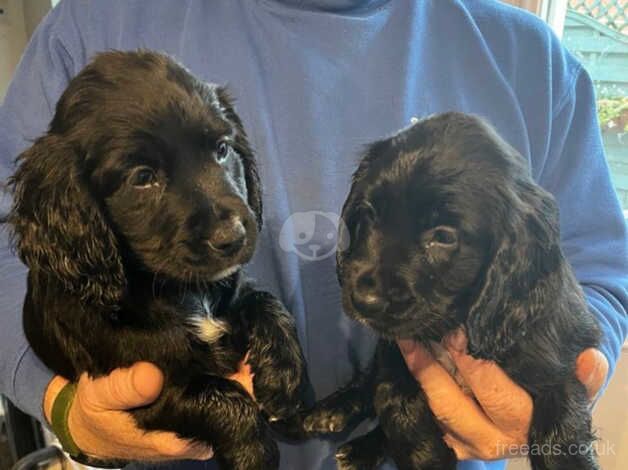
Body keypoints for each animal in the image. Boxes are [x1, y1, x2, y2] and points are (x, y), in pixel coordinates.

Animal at [4, 50, 310, 470]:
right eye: (142, 177)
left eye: (222, 149)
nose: (232, 237)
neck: (181, 291)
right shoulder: (153, 389)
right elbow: (221, 399)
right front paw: (254, 454)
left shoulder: (233, 291)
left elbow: (266, 301)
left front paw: (284, 378)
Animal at [300, 114, 604, 470]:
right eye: (370, 214)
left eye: (444, 237)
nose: (365, 302)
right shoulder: (396, 350)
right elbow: (394, 401)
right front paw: (427, 457)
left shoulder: (558, 368)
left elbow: (559, 436)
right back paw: (333, 411)